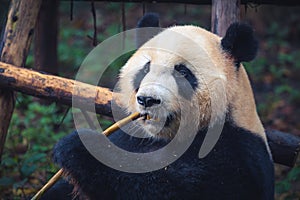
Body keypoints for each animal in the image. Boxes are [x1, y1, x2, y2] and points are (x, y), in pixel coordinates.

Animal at [42, 14, 274, 200]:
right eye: (146, 68)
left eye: (182, 72)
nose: (147, 100)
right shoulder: (130, 137)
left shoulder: (235, 155)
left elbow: (167, 187)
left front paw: (80, 147)